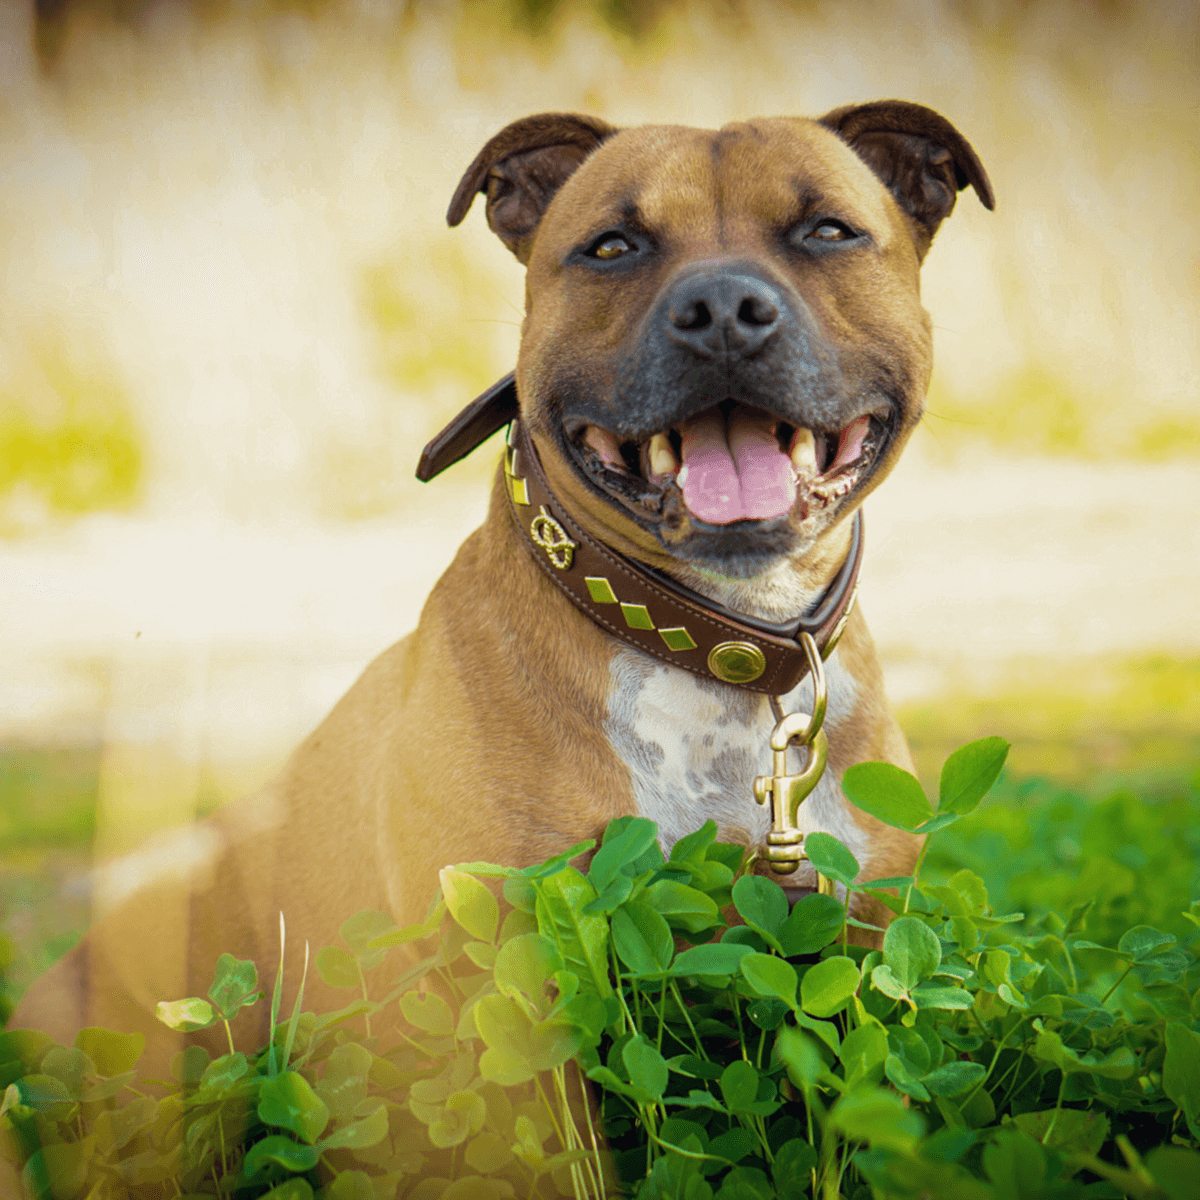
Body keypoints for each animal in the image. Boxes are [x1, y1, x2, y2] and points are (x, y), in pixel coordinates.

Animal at [14, 98, 993, 1065]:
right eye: (612, 246)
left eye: (828, 230)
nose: (722, 307)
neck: (713, 644)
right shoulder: (498, 980)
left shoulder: (859, 940)